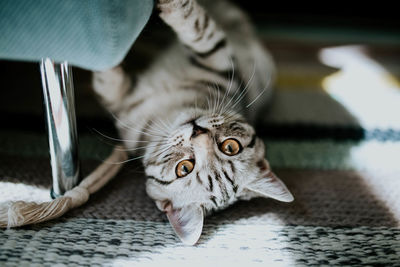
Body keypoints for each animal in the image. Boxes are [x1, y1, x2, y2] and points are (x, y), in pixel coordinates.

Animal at [94, 0, 294, 247]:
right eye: (230, 146)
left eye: (184, 168)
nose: (197, 132)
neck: (168, 112)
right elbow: (109, 83)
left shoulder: (218, 58)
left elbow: (199, 28)